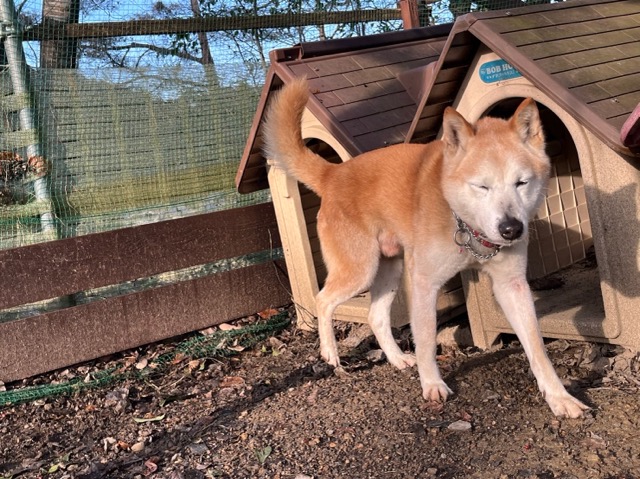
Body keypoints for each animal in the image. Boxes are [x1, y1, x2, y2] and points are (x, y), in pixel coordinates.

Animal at [262, 78, 589, 418]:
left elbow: (537, 347)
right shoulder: (424, 283)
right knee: (323, 300)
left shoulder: (512, 285)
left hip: (390, 270)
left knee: (377, 317)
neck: (465, 226)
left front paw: (559, 397)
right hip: (361, 270)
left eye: (521, 183)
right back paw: (330, 353)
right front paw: (432, 383)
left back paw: (397, 359)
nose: (511, 229)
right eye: (481, 186)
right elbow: (427, 339)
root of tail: (333, 174)